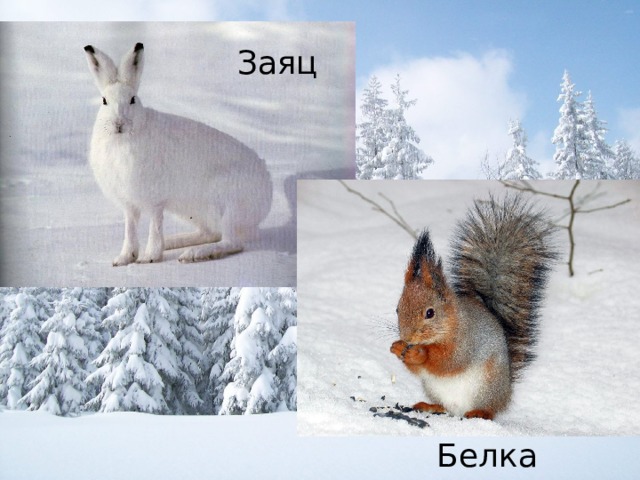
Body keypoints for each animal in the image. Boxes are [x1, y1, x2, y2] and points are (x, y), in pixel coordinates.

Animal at [84, 42, 272, 266]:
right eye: (104, 101)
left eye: (132, 100)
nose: (118, 124)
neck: (121, 140)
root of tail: (267, 196)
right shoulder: (128, 203)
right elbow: (130, 229)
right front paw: (122, 259)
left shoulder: (155, 199)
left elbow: (155, 225)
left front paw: (149, 257)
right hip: (194, 210)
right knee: (211, 233)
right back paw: (176, 242)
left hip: (229, 203)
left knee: (231, 242)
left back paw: (196, 254)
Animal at [390, 193, 556, 420]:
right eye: (397, 309)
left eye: (430, 313)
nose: (407, 338)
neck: (450, 324)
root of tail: (506, 392)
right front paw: (397, 347)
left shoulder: (467, 342)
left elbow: (449, 362)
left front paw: (419, 353)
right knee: (445, 407)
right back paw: (431, 406)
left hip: (487, 387)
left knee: (489, 410)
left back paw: (479, 413)